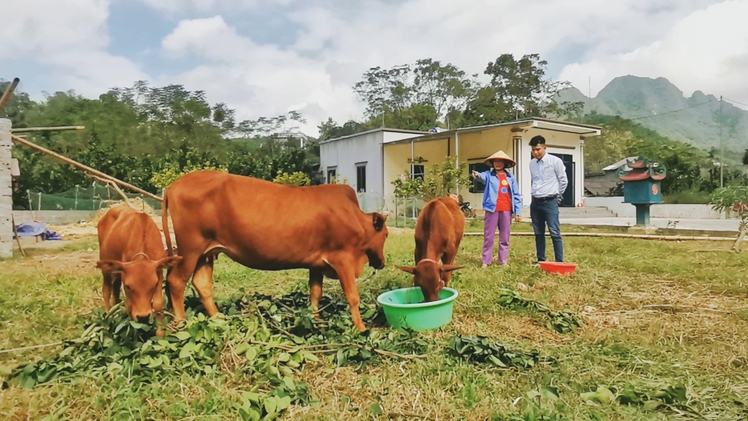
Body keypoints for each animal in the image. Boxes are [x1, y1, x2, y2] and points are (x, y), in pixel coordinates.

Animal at [95, 205, 183, 336]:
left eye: (154, 285)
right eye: (128, 286)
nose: (143, 317)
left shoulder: (159, 272)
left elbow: (158, 304)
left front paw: (160, 334)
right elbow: (129, 307)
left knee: (115, 290)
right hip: (105, 266)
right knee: (106, 290)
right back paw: (107, 317)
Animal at [161, 171, 388, 332]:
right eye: (385, 235)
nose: (382, 263)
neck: (353, 215)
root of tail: (173, 186)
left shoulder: (316, 263)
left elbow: (315, 293)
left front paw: (316, 321)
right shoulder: (343, 259)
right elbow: (353, 296)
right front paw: (361, 328)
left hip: (206, 252)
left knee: (202, 284)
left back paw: (220, 320)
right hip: (190, 249)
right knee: (176, 281)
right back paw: (182, 323)